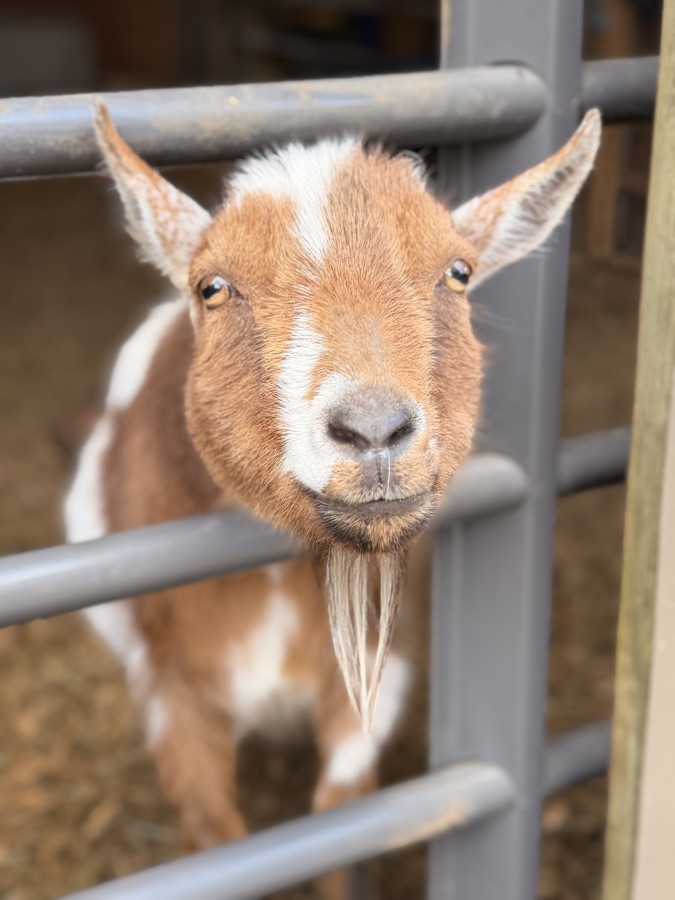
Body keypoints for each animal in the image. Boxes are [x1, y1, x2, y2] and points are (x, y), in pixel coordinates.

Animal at [65, 102, 600, 895]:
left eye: (458, 272)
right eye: (212, 286)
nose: (373, 429)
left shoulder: (384, 668)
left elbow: (341, 823)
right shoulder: (169, 686)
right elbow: (214, 838)